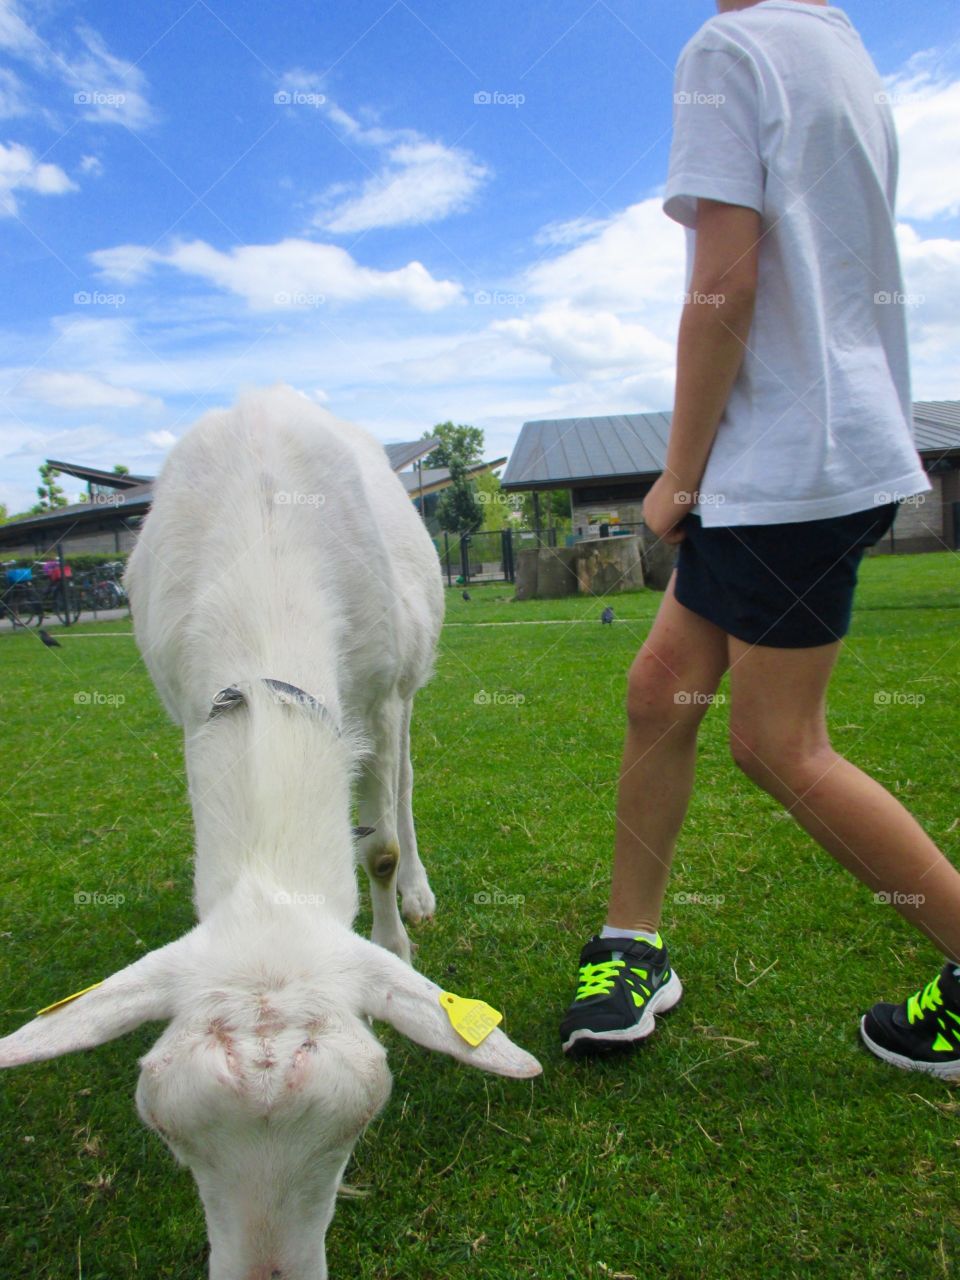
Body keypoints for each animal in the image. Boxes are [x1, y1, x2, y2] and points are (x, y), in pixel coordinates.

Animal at [0, 386, 541, 1280]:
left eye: (360, 1126)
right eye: (166, 1133)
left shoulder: (380, 694)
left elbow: (379, 846)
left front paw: (396, 942)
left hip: (407, 680)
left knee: (404, 789)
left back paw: (417, 894)